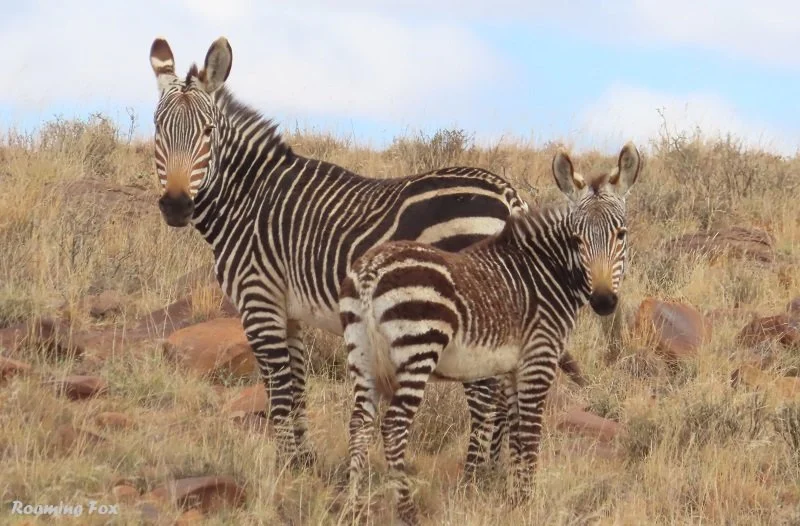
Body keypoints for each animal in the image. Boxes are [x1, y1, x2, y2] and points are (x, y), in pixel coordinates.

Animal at [147, 35, 582, 469]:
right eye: (157, 129)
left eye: (207, 132)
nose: (176, 205)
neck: (249, 199)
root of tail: (508, 193)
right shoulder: (288, 310)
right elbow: (297, 388)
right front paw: (303, 464)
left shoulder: (259, 300)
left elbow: (280, 392)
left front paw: (285, 468)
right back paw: (495, 476)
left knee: (485, 399)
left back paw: (473, 477)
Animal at [340, 142, 641, 524]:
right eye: (576, 239)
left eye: (621, 234)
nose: (603, 301)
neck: (545, 271)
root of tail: (369, 271)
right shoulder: (539, 358)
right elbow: (529, 433)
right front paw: (527, 502)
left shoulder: (510, 366)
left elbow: (514, 430)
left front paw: (512, 496)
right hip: (418, 348)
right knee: (393, 426)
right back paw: (407, 511)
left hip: (361, 354)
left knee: (359, 423)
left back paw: (353, 505)